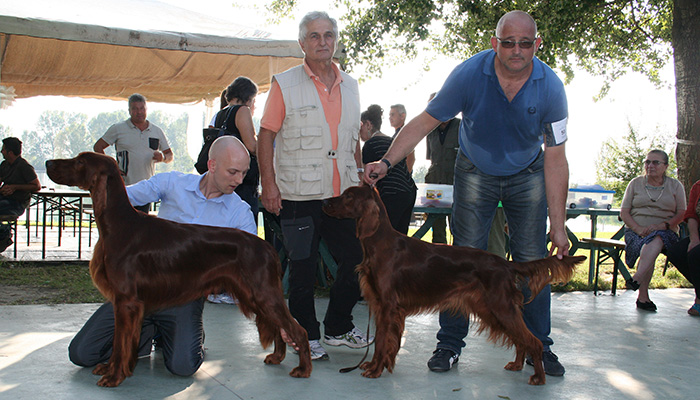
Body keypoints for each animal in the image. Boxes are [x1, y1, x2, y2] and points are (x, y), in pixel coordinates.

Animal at [47, 152, 310, 386]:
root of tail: (268, 247)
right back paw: (277, 356)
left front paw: (114, 377)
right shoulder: (124, 303)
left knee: (298, 329)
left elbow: (121, 344)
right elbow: (119, 342)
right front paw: (110, 369)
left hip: (262, 293)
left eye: (80, 161)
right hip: (255, 295)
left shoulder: (126, 301)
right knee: (280, 327)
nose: (48, 163)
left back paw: (303, 369)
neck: (118, 224)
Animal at [322, 185, 584, 384]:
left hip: (500, 307)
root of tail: (506, 264)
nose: (324, 201)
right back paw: (517, 365)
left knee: (534, 341)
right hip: (493, 310)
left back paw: (539, 377)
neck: (380, 243)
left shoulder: (388, 307)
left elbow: (382, 342)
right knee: (521, 340)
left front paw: (376, 369)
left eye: (348, 196)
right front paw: (376, 366)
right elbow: (382, 341)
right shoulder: (379, 305)